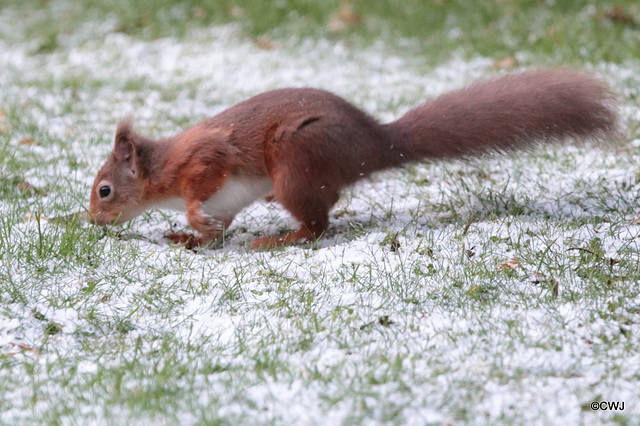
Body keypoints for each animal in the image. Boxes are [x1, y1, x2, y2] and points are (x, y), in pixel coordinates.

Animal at [90, 69, 620, 250]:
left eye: (105, 190)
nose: (92, 221)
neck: (161, 170)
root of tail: (377, 144)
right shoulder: (225, 202)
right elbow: (216, 226)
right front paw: (189, 236)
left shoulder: (203, 160)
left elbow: (203, 189)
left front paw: (192, 218)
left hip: (296, 160)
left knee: (318, 225)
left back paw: (280, 239)